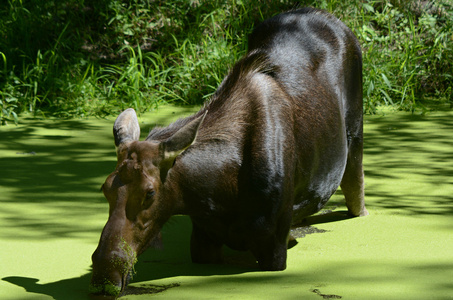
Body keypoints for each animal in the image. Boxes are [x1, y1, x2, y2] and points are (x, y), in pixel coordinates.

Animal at [89, 7, 368, 298]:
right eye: (105, 188)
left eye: (150, 193)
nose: (104, 274)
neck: (218, 193)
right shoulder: (203, 239)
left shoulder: (272, 247)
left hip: (356, 136)